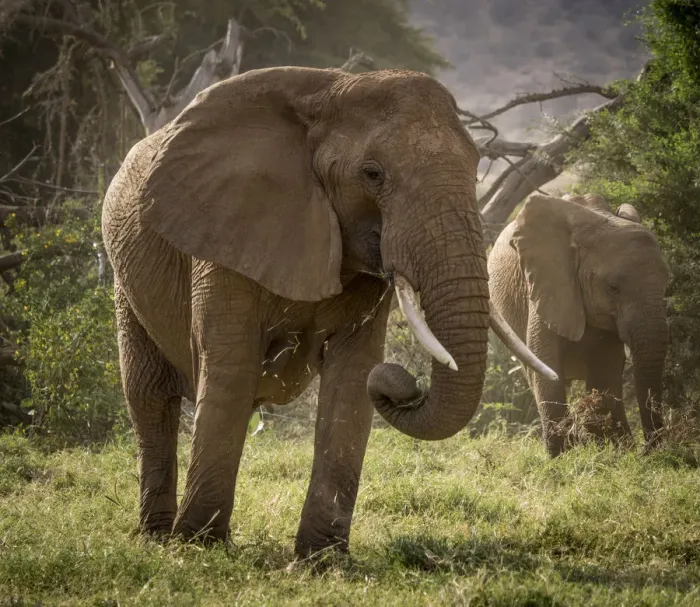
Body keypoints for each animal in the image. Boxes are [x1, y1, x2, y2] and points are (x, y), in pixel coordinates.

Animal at [102, 65, 556, 556]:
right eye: (372, 174)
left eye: (475, 166)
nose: (402, 383)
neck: (331, 90)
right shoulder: (223, 230)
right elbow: (231, 366)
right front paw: (198, 546)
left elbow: (353, 374)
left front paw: (320, 558)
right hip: (125, 278)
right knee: (150, 397)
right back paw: (155, 536)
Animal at [488, 192, 670, 457]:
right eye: (613, 288)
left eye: (667, 285)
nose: (650, 450)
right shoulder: (546, 284)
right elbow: (546, 365)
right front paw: (562, 456)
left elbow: (604, 372)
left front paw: (612, 451)